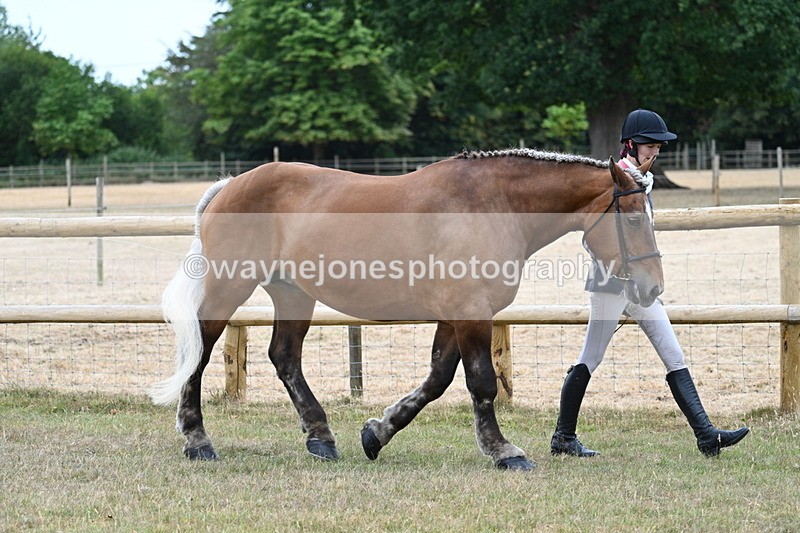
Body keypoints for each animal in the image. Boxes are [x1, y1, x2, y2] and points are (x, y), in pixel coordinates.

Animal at [151, 148, 663, 471]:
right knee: (200, 354)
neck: (492, 205)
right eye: (635, 218)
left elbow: (437, 379)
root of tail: (227, 187)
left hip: (293, 293)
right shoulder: (471, 312)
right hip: (229, 287)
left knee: (285, 357)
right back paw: (197, 441)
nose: (652, 287)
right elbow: (481, 383)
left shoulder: (455, 316)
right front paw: (504, 451)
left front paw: (378, 432)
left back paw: (321, 437)